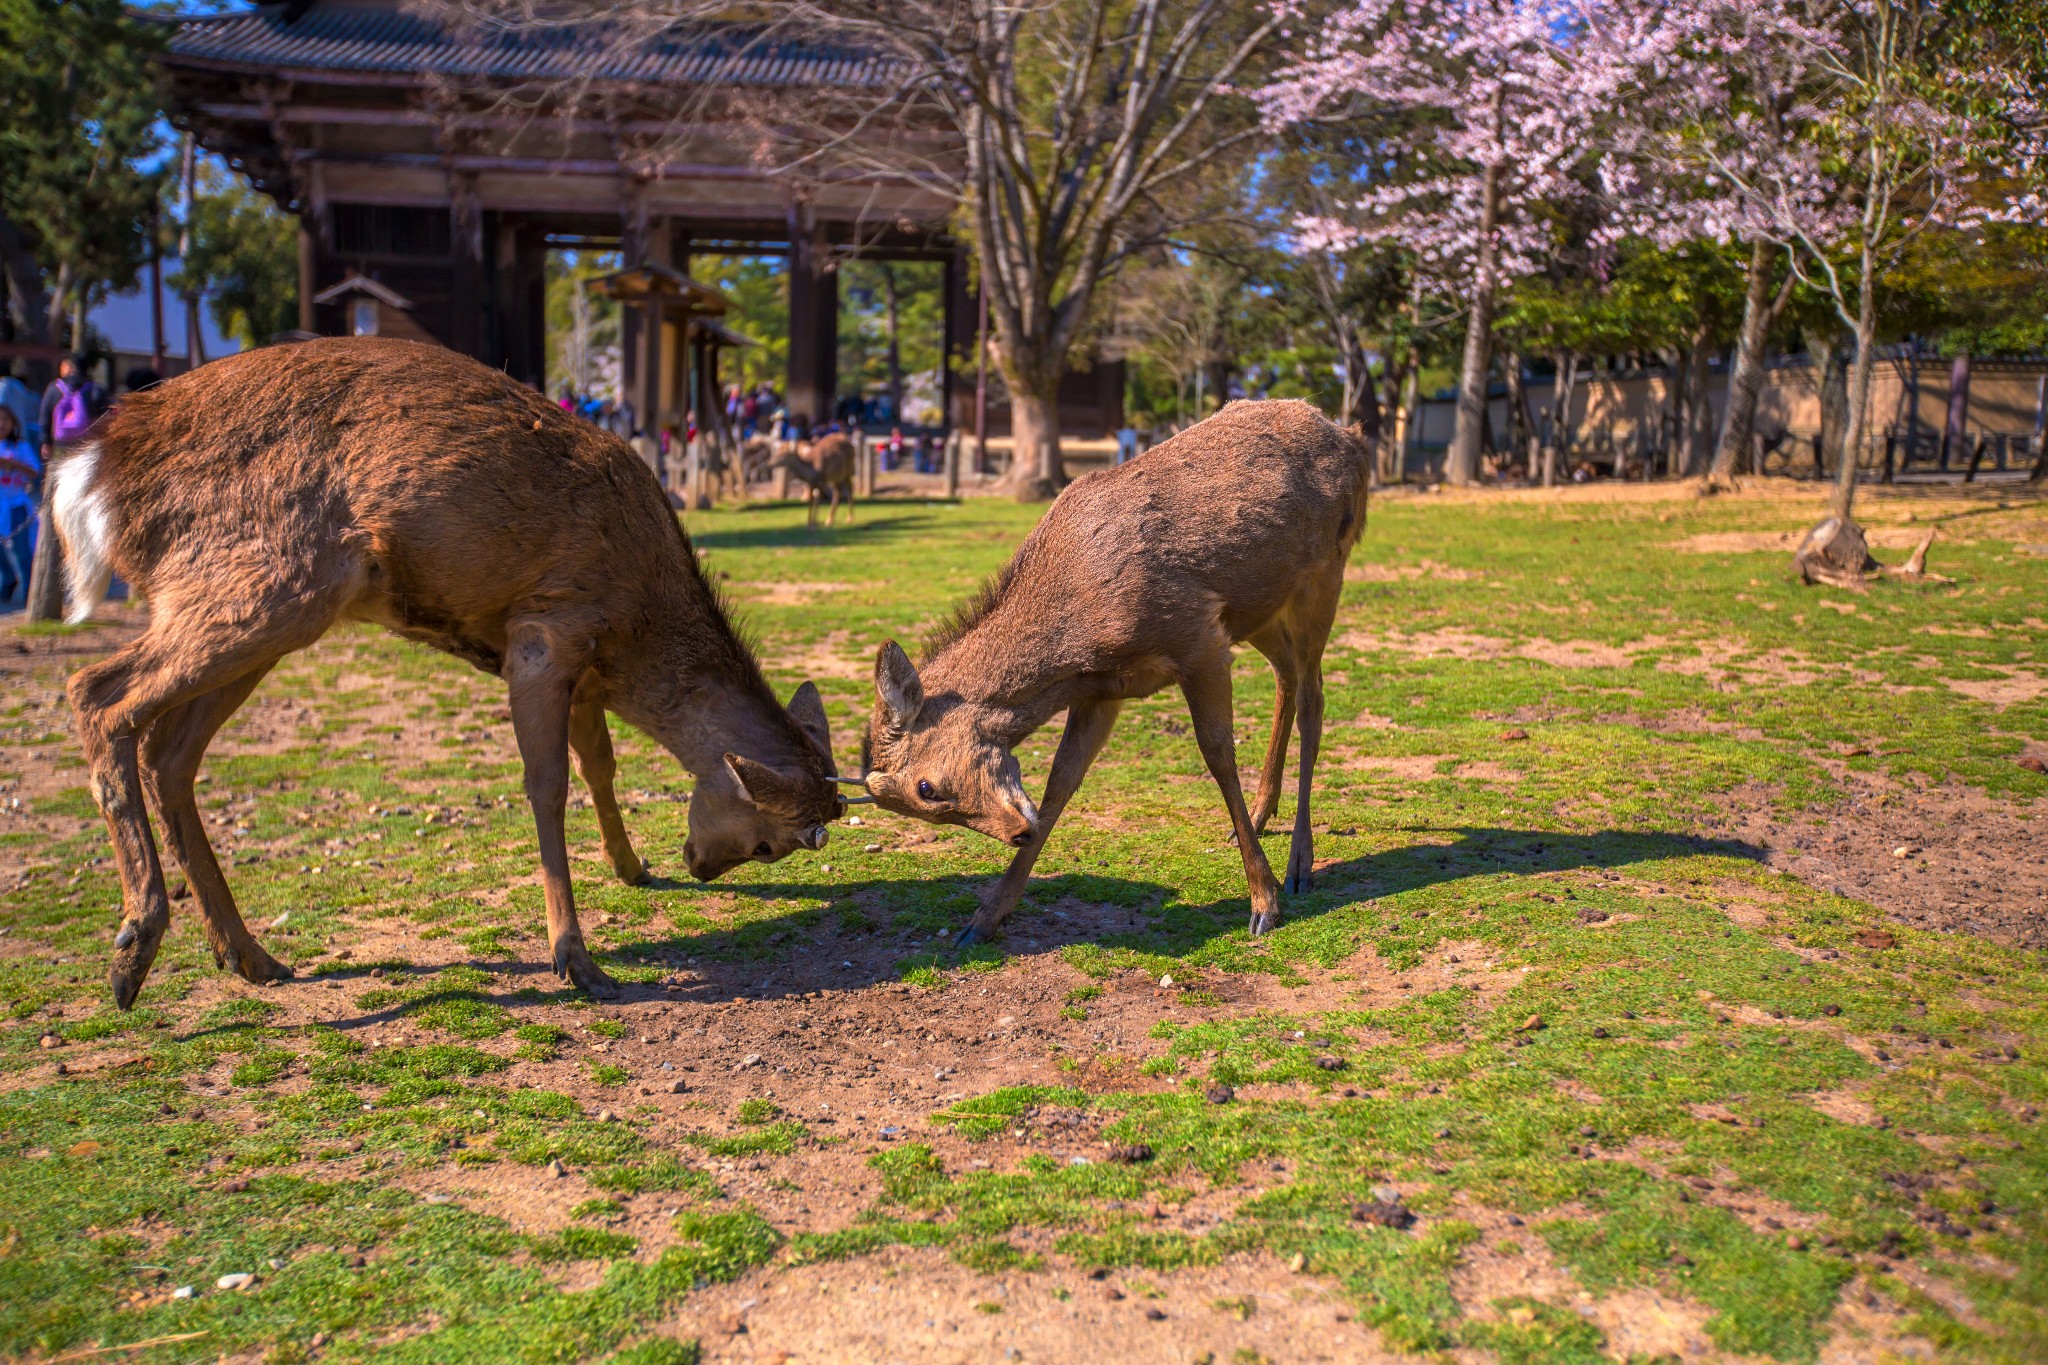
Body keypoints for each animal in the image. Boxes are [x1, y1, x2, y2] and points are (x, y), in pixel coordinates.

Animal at [56, 335, 851, 1010]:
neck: (637, 626)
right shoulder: (546, 629)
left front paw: (630, 866)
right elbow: (547, 784)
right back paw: (133, 948)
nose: (696, 864)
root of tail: (89, 476)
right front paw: (577, 959)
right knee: (97, 691)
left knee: (168, 752)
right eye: (767, 843)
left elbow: (599, 763)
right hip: (263, 584)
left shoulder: (586, 668)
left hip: (253, 613)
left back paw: (248, 955)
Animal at [856, 401, 1368, 945]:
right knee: (1287, 675)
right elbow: (1060, 781)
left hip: (1325, 574)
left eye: (925, 788)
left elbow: (1217, 756)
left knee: (1314, 695)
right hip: (1259, 611)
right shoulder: (1103, 691)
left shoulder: (1200, 639)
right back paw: (1258, 815)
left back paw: (1299, 864)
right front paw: (983, 919)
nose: (1018, 833)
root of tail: (1354, 438)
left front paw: (1263, 904)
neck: (1081, 641)